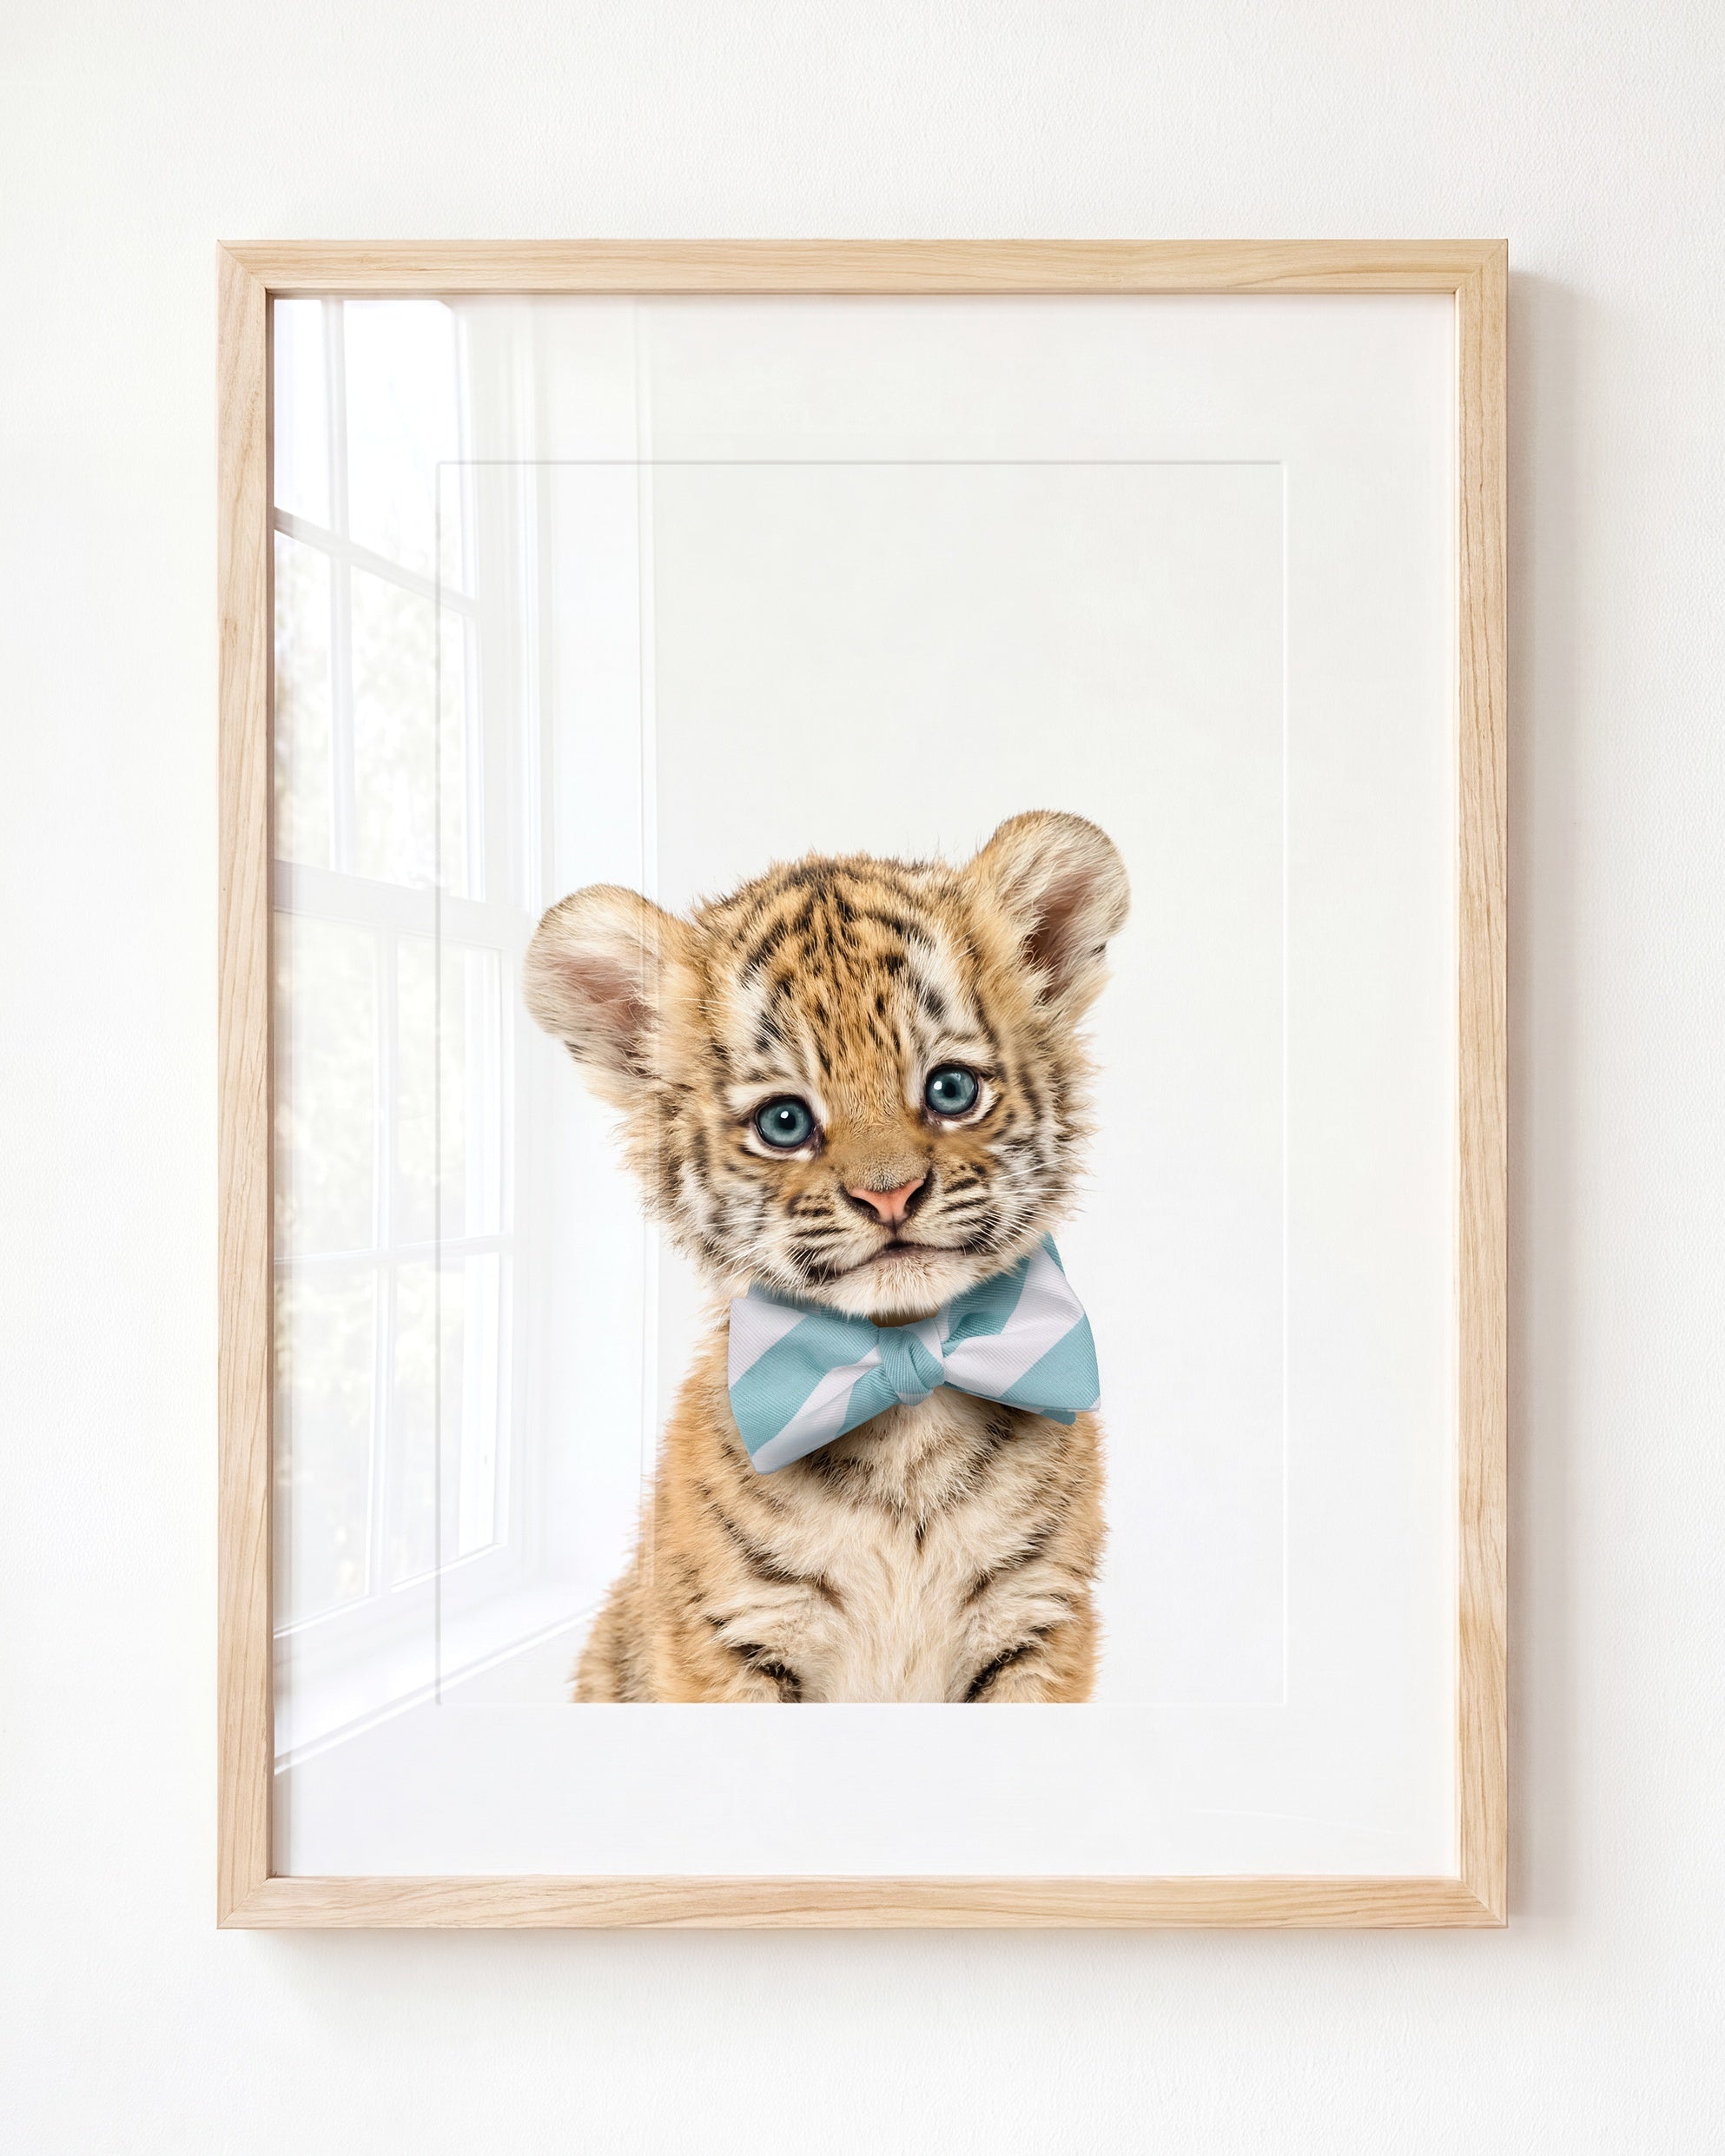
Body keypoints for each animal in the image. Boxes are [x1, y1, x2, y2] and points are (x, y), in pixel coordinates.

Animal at [522, 810, 1129, 1703]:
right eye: (784, 1122)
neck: (906, 1398)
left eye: (951, 1090)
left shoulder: (1037, 1622)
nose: (891, 1195)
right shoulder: (731, 1638)